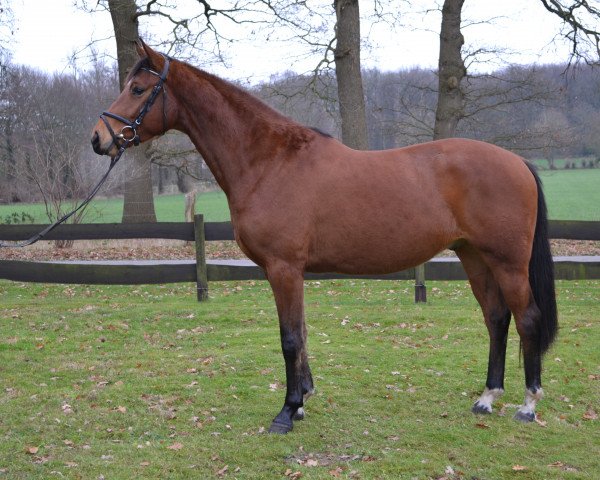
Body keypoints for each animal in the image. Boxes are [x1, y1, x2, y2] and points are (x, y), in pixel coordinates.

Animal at [92, 39, 556, 434]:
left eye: (137, 88)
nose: (99, 139)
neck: (268, 162)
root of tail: (517, 162)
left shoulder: (283, 269)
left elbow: (289, 338)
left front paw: (286, 411)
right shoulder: (290, 272)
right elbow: (301, 333)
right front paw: (302, 401)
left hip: (507, 262)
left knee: (527, 319)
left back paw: (527, 404)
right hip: (474, 257)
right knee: (496, 318)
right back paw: (487, 398)